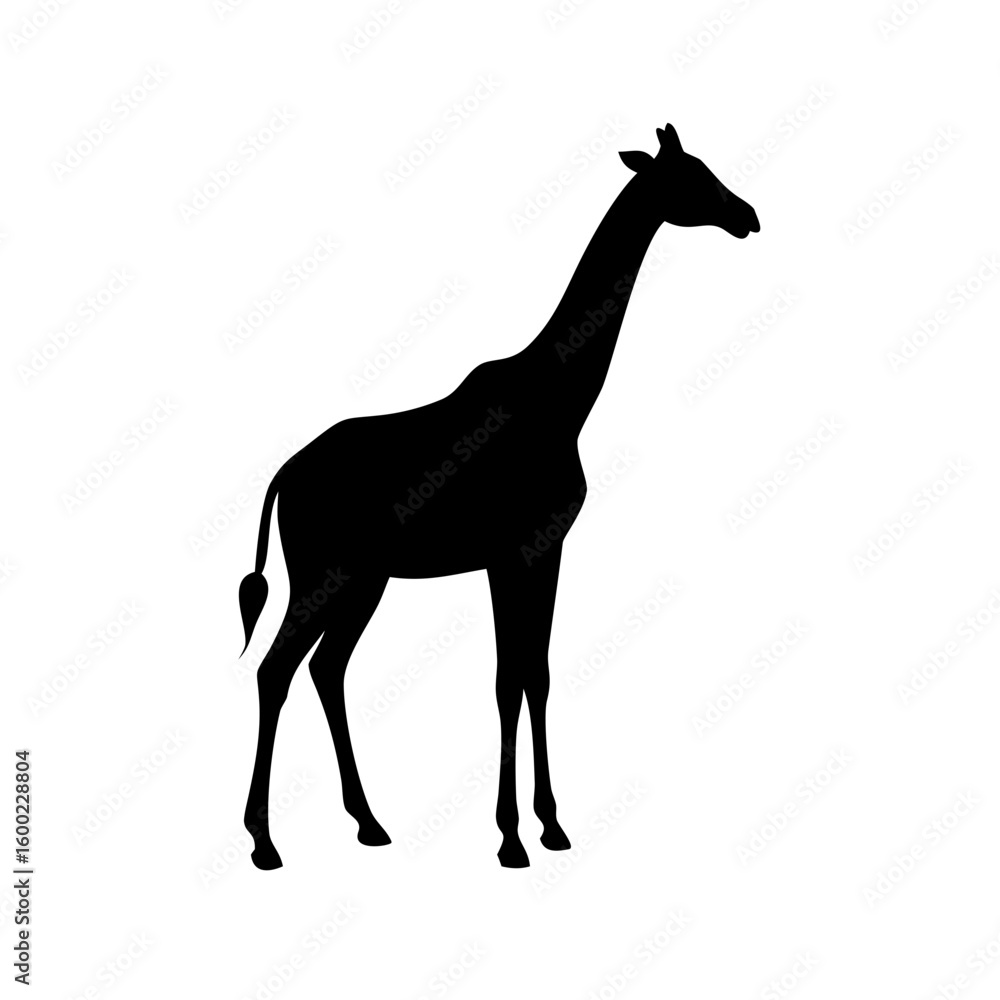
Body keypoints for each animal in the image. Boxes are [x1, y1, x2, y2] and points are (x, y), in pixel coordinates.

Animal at [238, 123, 760, 869]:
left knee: (326, 670)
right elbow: (505, 679)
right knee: (275, 670)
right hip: (323, 571)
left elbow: (533, 674)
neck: (565, 400)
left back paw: (369, 822)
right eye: (691, 176)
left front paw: (550, 826)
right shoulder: (511, 553)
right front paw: (512, 838)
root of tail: (284, 475)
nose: (748, 215)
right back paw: (264, 842)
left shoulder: (543, 550)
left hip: (365, 579)